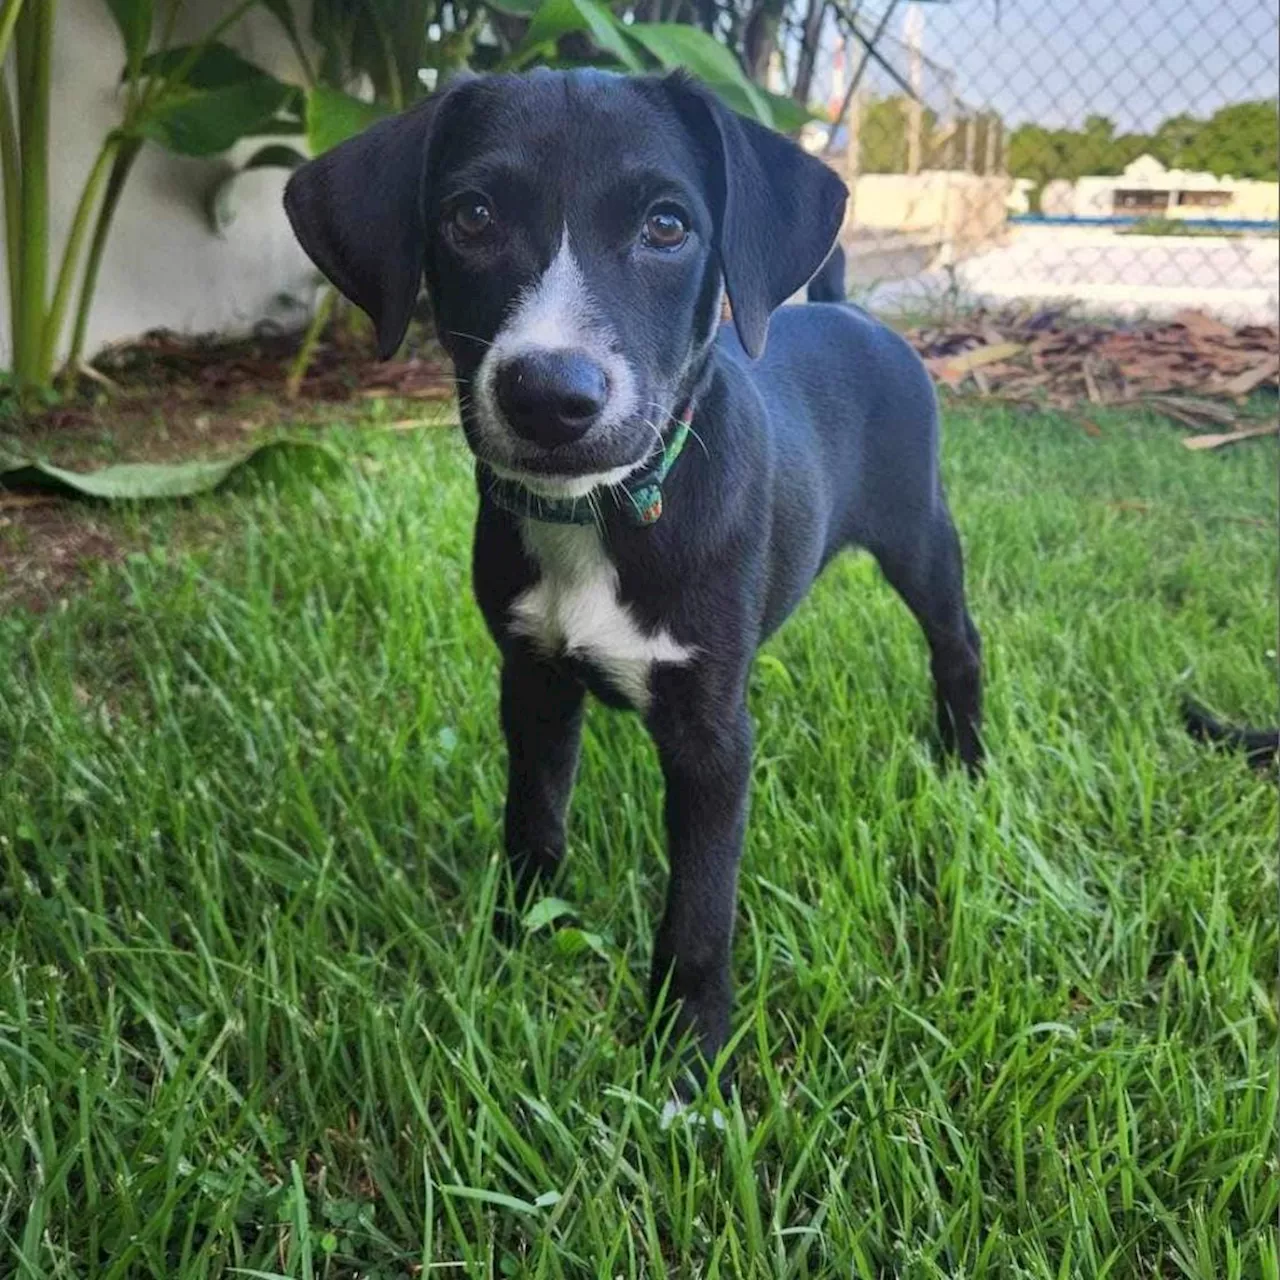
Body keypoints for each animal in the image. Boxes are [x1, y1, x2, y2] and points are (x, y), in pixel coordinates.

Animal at [285, 70, 983, 1085]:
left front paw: (687, 1053)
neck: (601, 517)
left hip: (920, 533)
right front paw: (513, 944)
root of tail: (851, 311)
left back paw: (965, 760)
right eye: (471, 216)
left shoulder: (712, 737)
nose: (550, 396)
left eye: (666, 226)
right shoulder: (531, 679)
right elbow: (533, 819)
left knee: (957, 641)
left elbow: (700, 902)